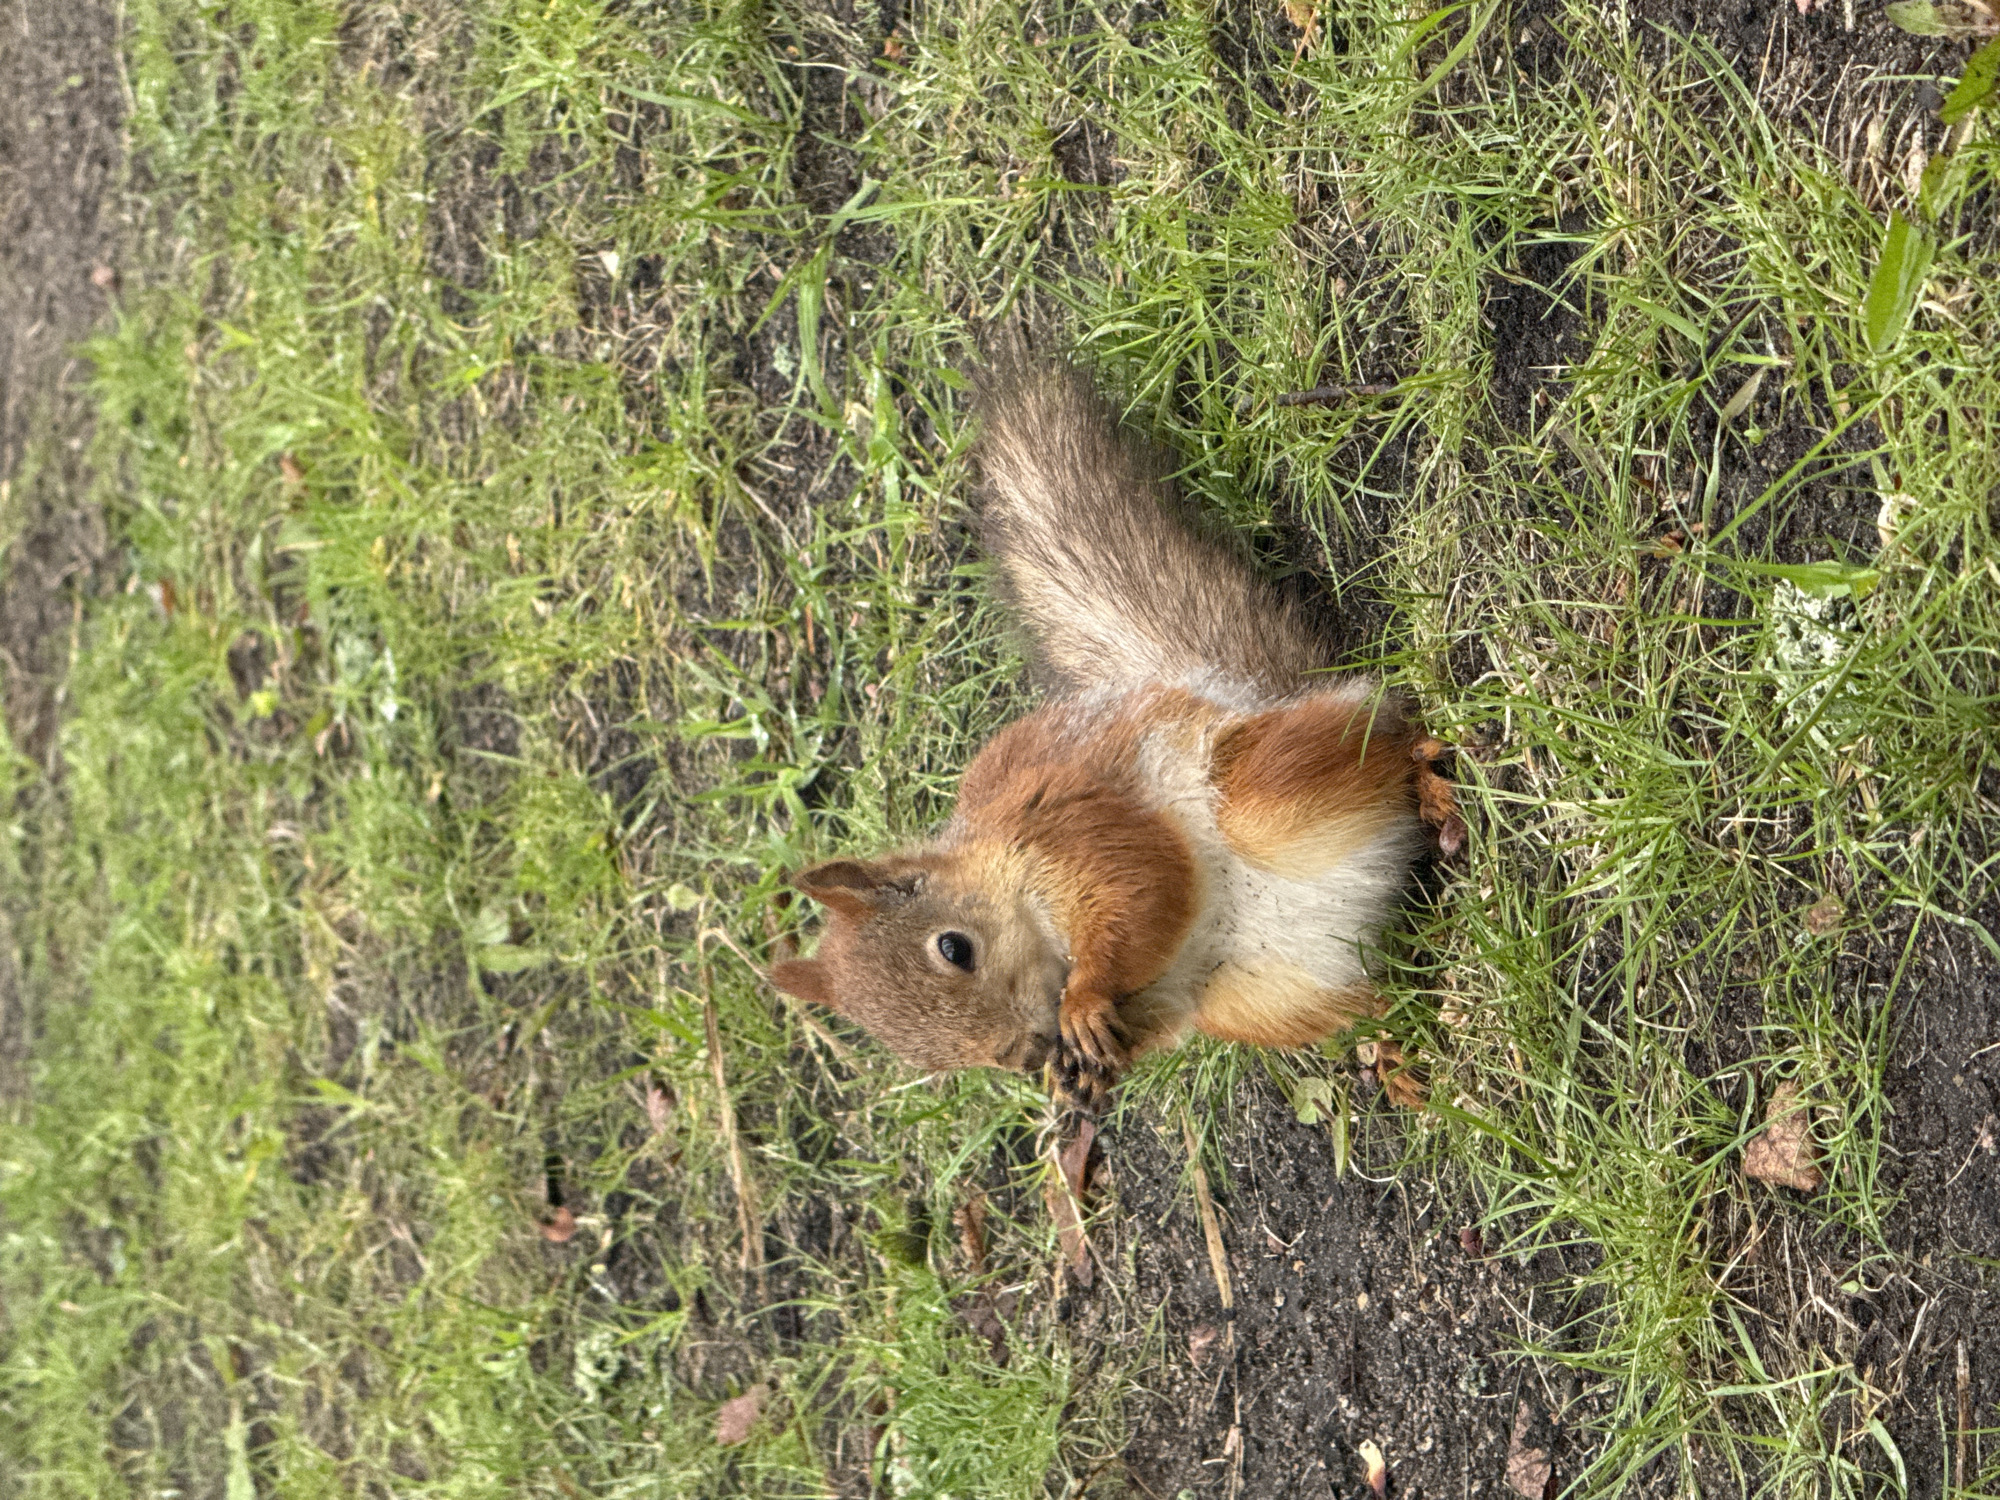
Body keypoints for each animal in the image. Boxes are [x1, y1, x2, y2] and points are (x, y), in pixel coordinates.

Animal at [771, 356, 1459, 1114]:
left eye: (955, 948)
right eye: (922, 1054)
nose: (1028, 1053)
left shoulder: (1079, 827)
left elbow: (1142, 890)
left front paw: (1082, 1000)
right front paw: (1079, 1068)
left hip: (1266, 793)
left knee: (1388, 734)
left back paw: (1431, 788)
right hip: (1261, 998)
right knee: (1367, 1000)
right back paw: (1395, 1053)